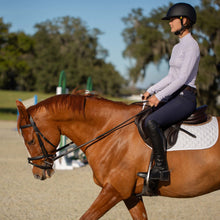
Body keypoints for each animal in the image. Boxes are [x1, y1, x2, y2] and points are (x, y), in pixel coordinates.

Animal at [15, 93, 220, 219]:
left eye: (30, 141)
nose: (38, 174)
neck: (112, 133)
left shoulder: (114, 190)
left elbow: (86, 217)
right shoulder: (130, 195)